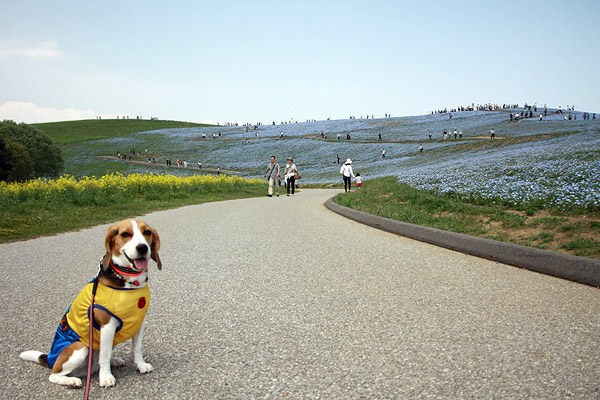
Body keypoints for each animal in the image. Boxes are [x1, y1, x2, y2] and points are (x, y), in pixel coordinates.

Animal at [20, 219, 162, 388]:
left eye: (147, 232)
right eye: (125, 234)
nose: (142, 248)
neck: (129, 282)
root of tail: (49, 358)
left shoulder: (139, 322)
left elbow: (137, 348)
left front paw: (141, 365)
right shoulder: (107, 326)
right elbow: (105, 355)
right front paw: (106, 378)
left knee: (97, 362)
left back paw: (113, 362)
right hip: (80, 348)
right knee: (54, 375)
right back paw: (72, 380)